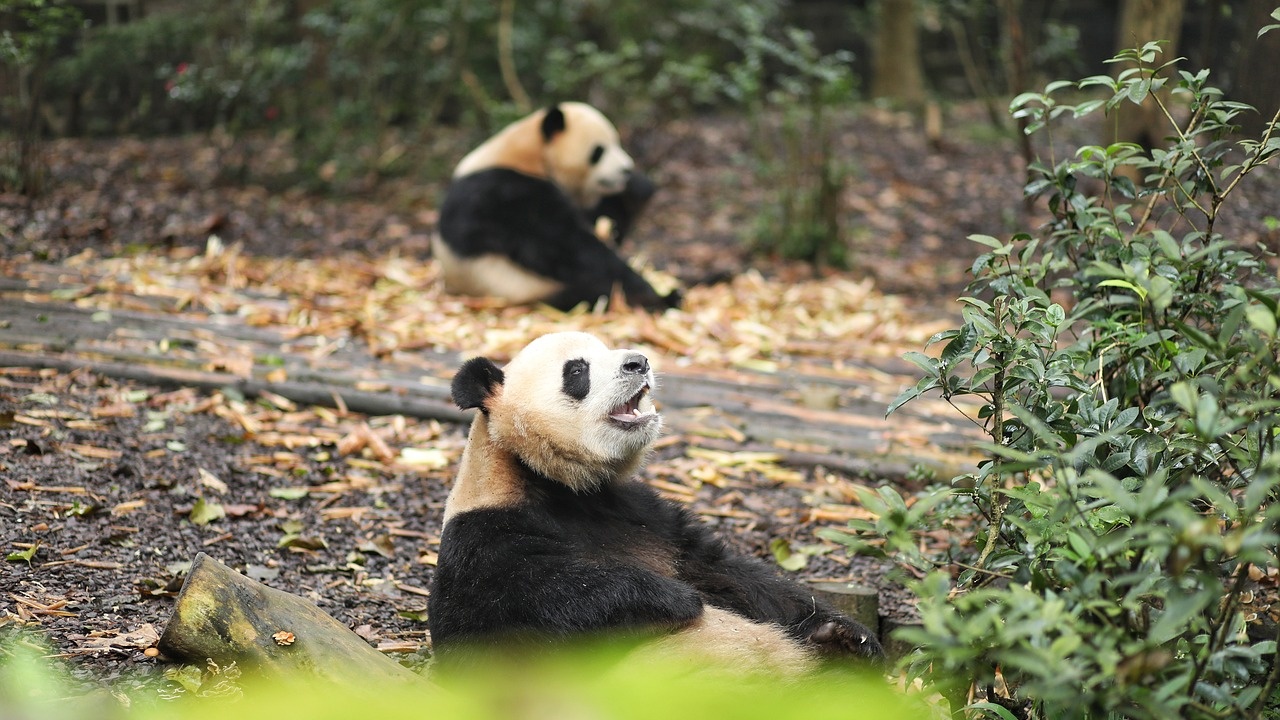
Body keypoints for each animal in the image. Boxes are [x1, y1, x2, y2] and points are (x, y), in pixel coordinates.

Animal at [427, 330, 880, 671]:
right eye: (577, 370)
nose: (638, 362)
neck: (558, 482)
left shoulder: (647, 515)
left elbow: (727, 572)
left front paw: (847, 633)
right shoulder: (485, 536)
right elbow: (543, 602)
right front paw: (674, 598)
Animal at [435, 101, 680, 311]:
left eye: (617, 143)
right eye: (599, 151)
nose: (626, 169)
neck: (528, 154)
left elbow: (602, 225)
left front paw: (637, 188)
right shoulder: (502, 192)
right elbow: (561, 246)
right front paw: (649, 290)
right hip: (520, 286)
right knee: (592, 291)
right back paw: (661, 299)